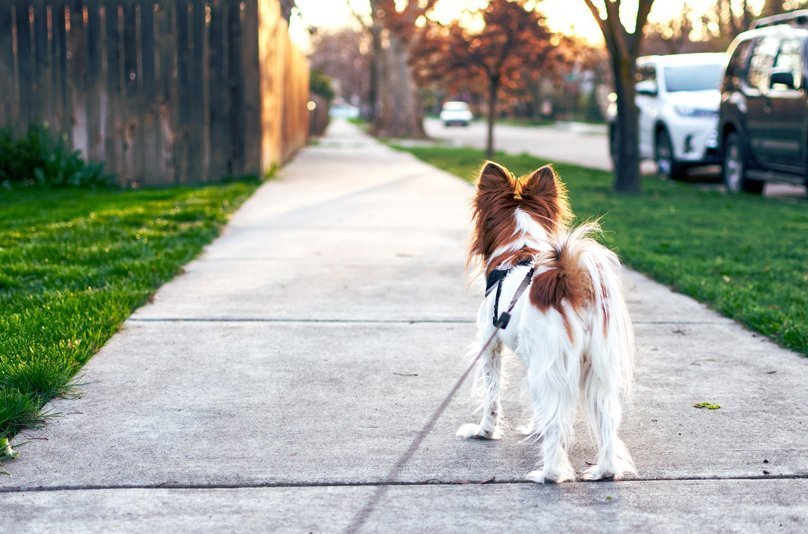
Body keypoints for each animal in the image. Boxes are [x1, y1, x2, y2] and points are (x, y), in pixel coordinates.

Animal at [454, 161, 636, 484]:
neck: (519, 249)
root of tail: (570, 281)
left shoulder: (491, 344)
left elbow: (492, 395)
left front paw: (484, 432)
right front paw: (533, 429)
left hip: (550, 366)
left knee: (557, 424)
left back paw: (548, 474)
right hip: (595, 368)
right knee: (607, 419)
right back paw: (604, 471)